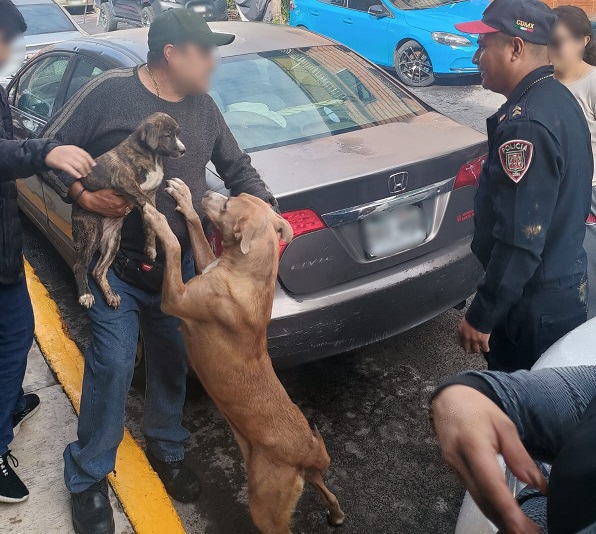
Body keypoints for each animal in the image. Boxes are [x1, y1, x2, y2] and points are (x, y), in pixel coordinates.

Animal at [74, 113, 186, 310]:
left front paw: (150, 249)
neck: (152, 156)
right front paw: (162, 226)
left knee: (98, 271)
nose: (183, 150)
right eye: (167, 135)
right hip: (92, 231)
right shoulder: (126, 181)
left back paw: (110, 295)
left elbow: (149, 224)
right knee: (80, 264)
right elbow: (152, 210)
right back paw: (85, 294)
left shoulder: (151, 195)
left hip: (113, 241)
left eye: (177, 134)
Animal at [144, 181, 344, 534]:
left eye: (227, 207)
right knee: (328, 491)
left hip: (265, 506)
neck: (247, 271)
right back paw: (335, 515)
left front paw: (158, 218)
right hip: (307, 477)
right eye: (233, 198)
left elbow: (174, 245)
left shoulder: (175, 298)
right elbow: (196, 231)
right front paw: (184, 200)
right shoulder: (205, 262)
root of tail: (304, 452)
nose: (207, 194)